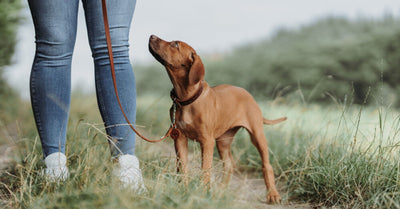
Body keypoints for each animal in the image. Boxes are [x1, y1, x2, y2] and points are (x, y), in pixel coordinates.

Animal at [149, 34, 284, 204]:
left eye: (175, 44)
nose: (151, 36)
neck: (187, 99)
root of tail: (248, 94)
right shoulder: (179, 138)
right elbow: (183, 167)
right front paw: (184, 191)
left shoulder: (207, 141)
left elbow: (205, 168)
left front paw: (203, 193)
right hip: (223, 140)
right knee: (229, 165)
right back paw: (220, 191)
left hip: (257, 134)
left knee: (266, 164)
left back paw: (273, 194)